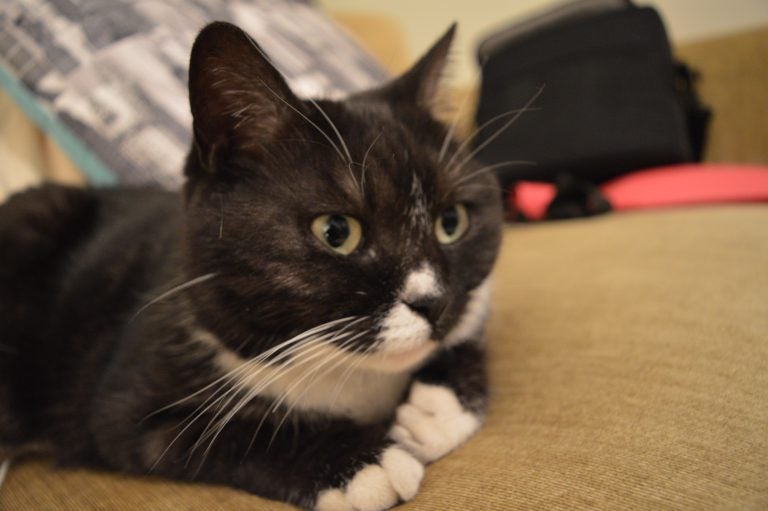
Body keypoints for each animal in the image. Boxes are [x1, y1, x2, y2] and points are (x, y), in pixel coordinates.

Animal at [0, 21, 504, 511]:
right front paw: (363, 463)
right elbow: (234, 430)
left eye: (452, 222)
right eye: (337, 231)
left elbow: (471, 328)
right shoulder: (126, 407)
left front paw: (433, 411)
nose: (434, 302)